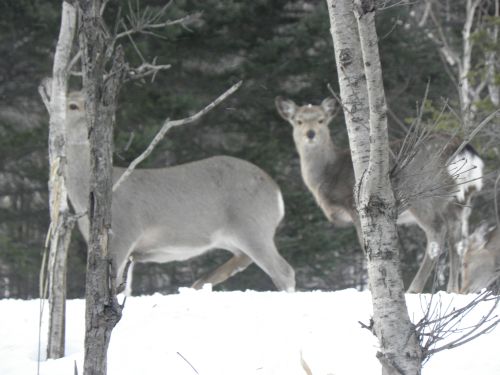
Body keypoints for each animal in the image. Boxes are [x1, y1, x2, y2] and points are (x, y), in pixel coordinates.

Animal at [64, 92, 294, 296]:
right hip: (235, 236)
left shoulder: (123, 233)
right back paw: (199, 284)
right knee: (243, 260)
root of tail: (276, 192)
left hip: (253, 226)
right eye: (71, 105)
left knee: (283, 271)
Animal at [276, 96, 482, 294]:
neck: (330, 174)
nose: (310, 134)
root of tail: (463, 151)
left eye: (321, 120)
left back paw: (414, 289)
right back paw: (453, 290)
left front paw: (371, 288)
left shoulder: (355, 206)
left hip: (423, 194)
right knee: (457, 239)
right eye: (298, 121)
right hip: (459, 201)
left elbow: (365, 247)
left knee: (437, 232)